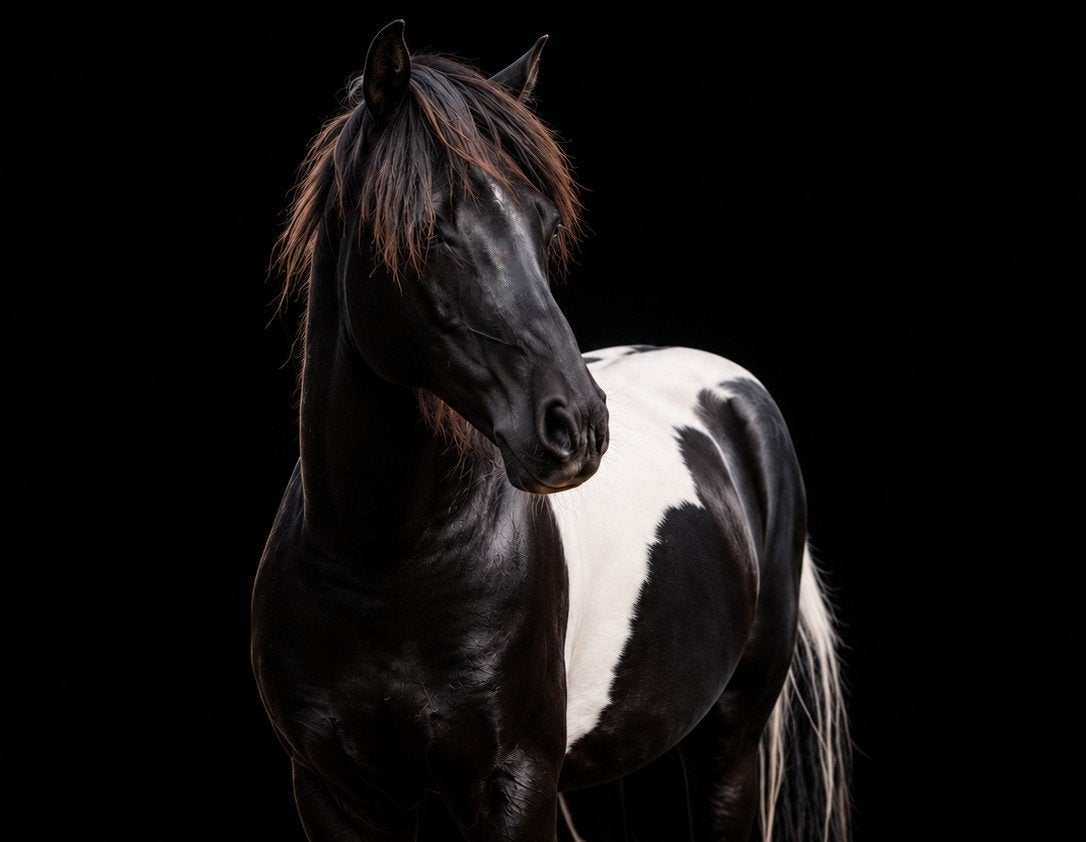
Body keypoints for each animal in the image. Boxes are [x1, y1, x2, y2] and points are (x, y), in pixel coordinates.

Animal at [251, 20, 850, 841]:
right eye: (428, 226)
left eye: (546, 222)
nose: (577, 426)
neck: (382, 566)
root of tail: (735, 391)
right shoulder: (332, 791)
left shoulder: (516, 781)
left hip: (731, 742)